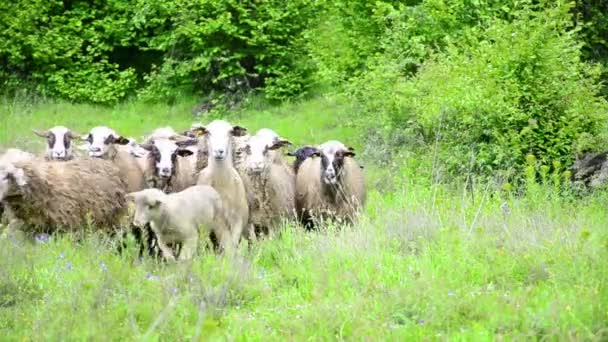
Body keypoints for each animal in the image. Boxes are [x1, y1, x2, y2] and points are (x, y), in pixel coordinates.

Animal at [197, 119, 249, 247]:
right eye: (208, 132)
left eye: (230, 132)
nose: (219, 151)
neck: (224, 185)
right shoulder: (218, 221)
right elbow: (227, 243)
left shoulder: (238, 219)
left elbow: (233, 243)